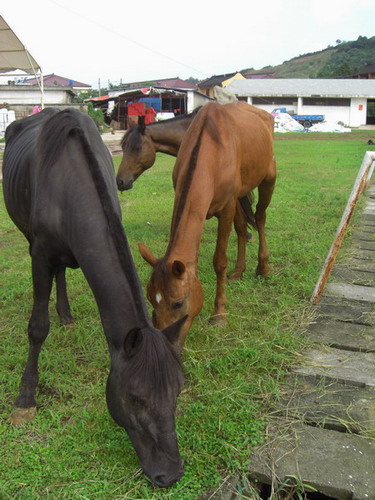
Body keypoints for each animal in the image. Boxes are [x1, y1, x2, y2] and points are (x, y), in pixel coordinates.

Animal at [1, 109, 187, 488]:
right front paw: (25, 399)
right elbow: (37, 327)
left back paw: (67, 315)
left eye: (178, 392)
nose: (171, 473)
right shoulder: (39, 253)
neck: (69, 185)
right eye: (134, 397)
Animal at [138, 101, 276, 350]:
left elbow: (219, 262)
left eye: (178, 303)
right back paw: (239, 271)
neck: (210, 151)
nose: (167, 344)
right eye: (150, 299)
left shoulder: (227, 208)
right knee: (242, 228)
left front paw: (219, 314)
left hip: (268, 178)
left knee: (260, 218)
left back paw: (262, 267)